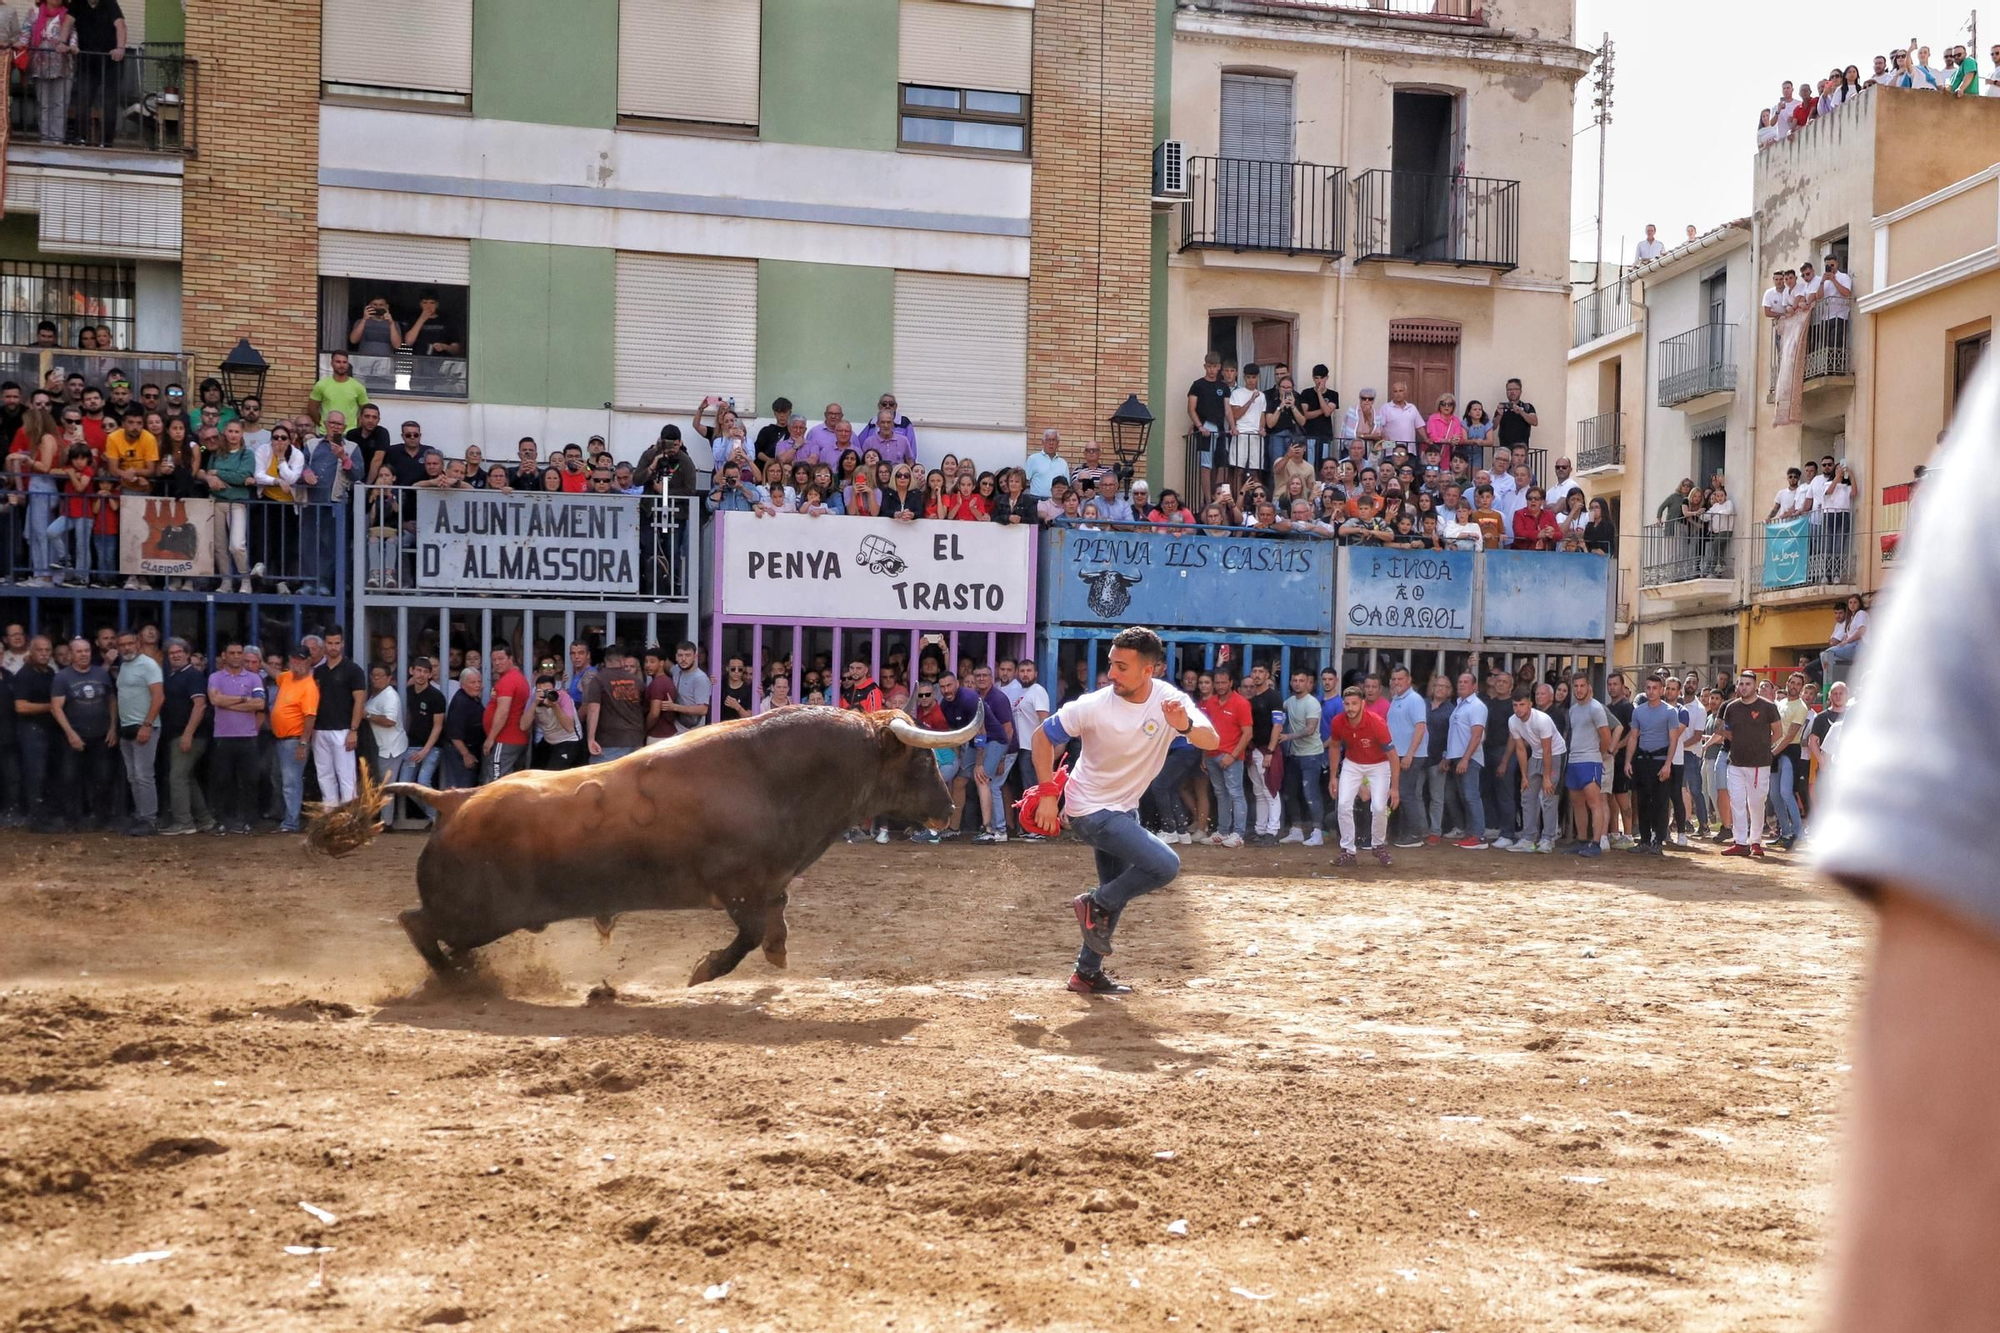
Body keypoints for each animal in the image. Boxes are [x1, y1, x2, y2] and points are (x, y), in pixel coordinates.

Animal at [368, 700, 984, 980]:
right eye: (923, 760)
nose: (948, 810)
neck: (772, 776)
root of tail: (455, 799)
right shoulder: (739, 889)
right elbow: (748, 935)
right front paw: (705, 969)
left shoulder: (768, 884)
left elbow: (776, 919)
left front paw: (776, 952)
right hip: (475, 915)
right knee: (416, 923)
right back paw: (458, 980)